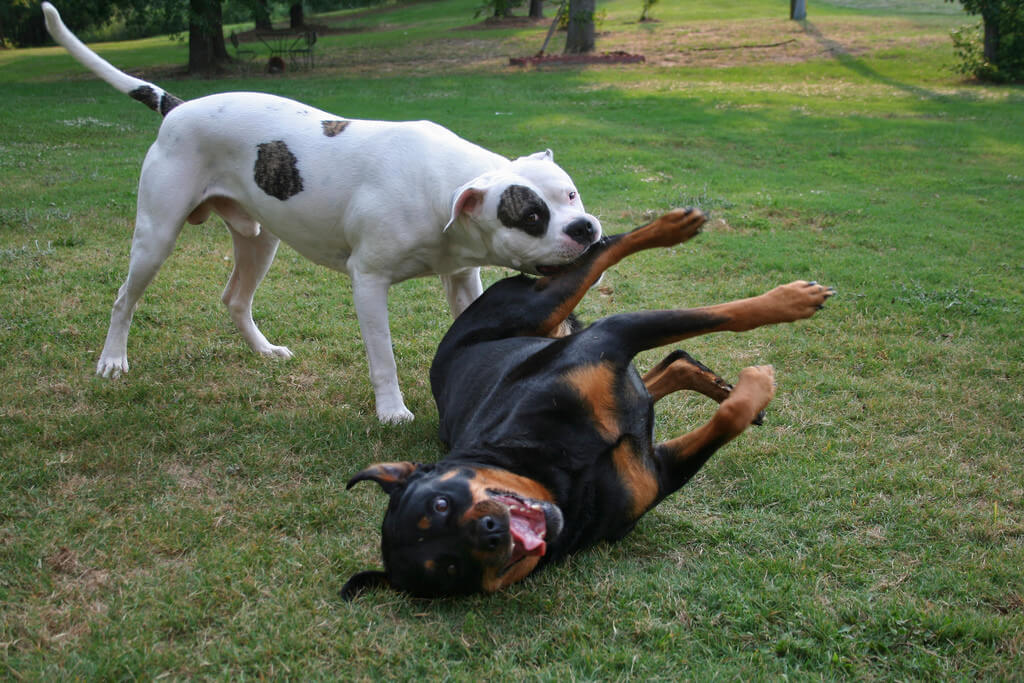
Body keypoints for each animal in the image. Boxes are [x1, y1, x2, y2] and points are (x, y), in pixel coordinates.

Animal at [41, 2, 598, 421]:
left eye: (571, 195)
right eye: (531, 216)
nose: (585, 228)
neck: (442, 186)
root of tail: (178, 108)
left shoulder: (461, 278)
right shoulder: (368, 282)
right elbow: (383, 357)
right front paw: (392, 411)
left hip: (259, 240)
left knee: (234, 298)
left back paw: (263, 351)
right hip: (156, 237)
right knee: (124, 299)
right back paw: (113, 360)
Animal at [342, 209, 831, 598]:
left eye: (441, 504)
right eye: (450, 567)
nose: (490, 533)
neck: (558, 473)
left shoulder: (610, 337)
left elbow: (726, 315)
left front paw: (791, 302)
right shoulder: (658, 473)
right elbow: (728, 418)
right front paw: (754, 387)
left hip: (538, 307)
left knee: (598, 254)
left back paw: (674, 227)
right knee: (664, 370)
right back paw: (715, 382)